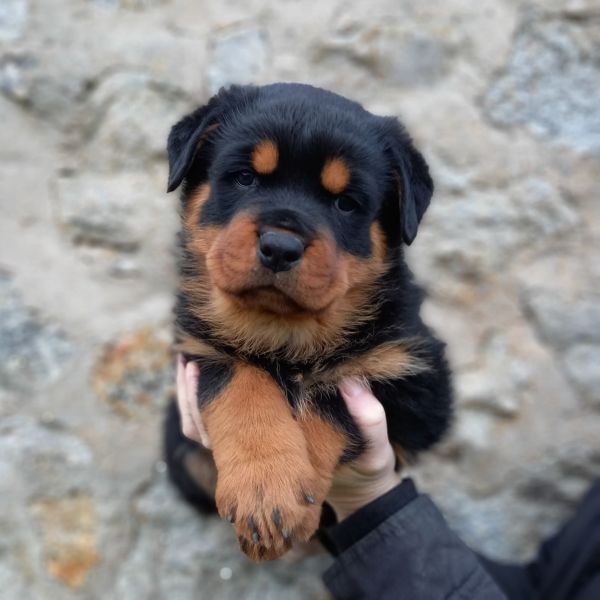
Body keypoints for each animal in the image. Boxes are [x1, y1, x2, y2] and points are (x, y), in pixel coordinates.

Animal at [163, 83, 452, 561]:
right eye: (245, 178)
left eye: (346, 203)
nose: (280, 247)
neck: (285, 332)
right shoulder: (199, 349)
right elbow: (243, 383)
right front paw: (264, 488)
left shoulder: (415, 382)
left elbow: (328, 396)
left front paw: (287, 503)